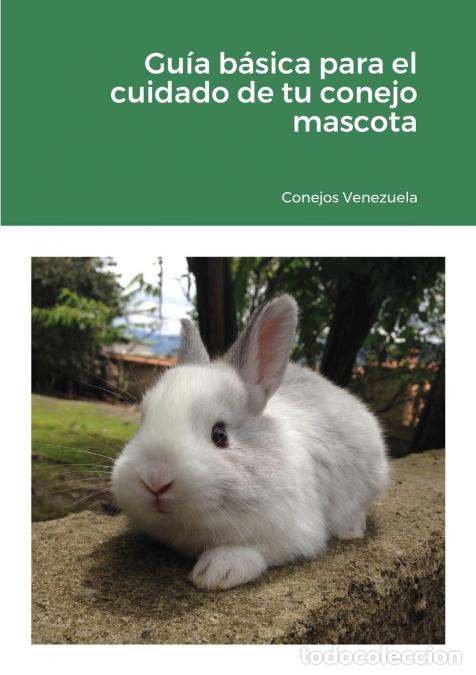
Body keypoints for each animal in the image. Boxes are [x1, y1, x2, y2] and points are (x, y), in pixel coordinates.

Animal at [111, 295, 389, 590]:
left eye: (220, 435)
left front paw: (217, 571)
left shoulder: (293, 533)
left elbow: (257, 550)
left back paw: (351, 531)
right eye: (142, 421)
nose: (155, 480)